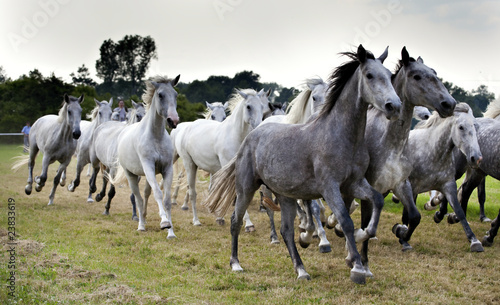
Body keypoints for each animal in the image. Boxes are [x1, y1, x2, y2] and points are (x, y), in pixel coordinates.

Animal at [172, 88, 274, 226]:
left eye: (262, 106)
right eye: (248, 106)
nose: (259, 126)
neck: (235, 135)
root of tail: (186, 127)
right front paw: (248, 223)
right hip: (189, 164)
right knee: (192, 191)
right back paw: (195, 220)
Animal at [203, 44, 402, 282]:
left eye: (389, 75)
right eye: (370, 75)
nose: (394, 106)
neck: (342, 136)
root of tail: (250, 137)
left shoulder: (354, 183)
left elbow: (377, 202)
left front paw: (362, 237)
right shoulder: (330, 187)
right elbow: (345, 221)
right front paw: (356, 267)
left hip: (285, 196)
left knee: (287, 231)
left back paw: (301, 270)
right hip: (246, 189)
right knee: (235, 221)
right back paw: (236, 264)